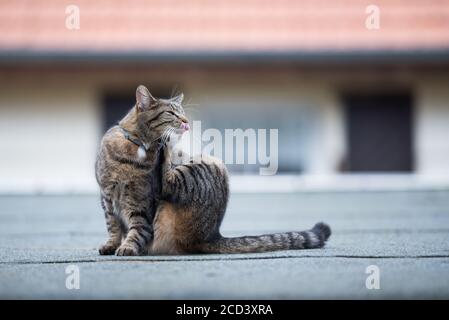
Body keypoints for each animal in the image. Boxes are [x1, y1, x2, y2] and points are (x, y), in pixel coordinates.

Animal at [95, 84, 328, 255]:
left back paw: (167, 146)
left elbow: (137, 228)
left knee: (168, 182)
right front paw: (112, 245)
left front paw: (127, 247)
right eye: (171, 113)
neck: (134, 148)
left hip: (209, 164)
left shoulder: (142, 202)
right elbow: (113, 226)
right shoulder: (107, 198)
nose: (186, 121)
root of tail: (211, 235)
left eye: (182, 113)